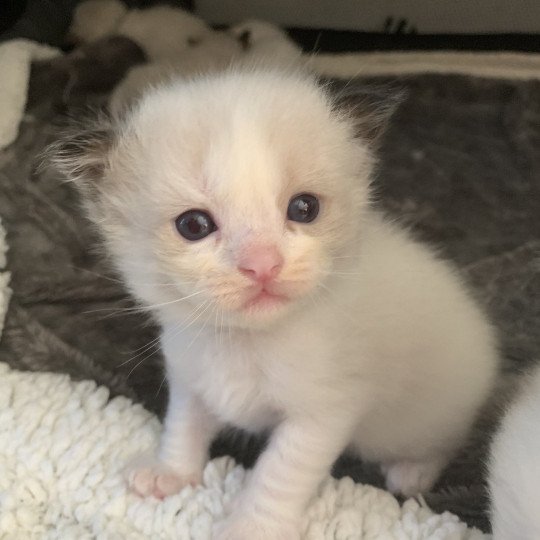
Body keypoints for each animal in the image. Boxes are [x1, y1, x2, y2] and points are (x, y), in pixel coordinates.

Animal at [50, 68, 498, 540]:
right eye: (194, 225)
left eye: (304, 208)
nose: (262, 264)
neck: (246, 343)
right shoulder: (191, 375)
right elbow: (183, 423)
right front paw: (170, 472)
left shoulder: (323, 412)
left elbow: (279, 472)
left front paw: (251, 526)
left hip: (417, 419)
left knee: (441, 442)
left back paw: (413, 474)